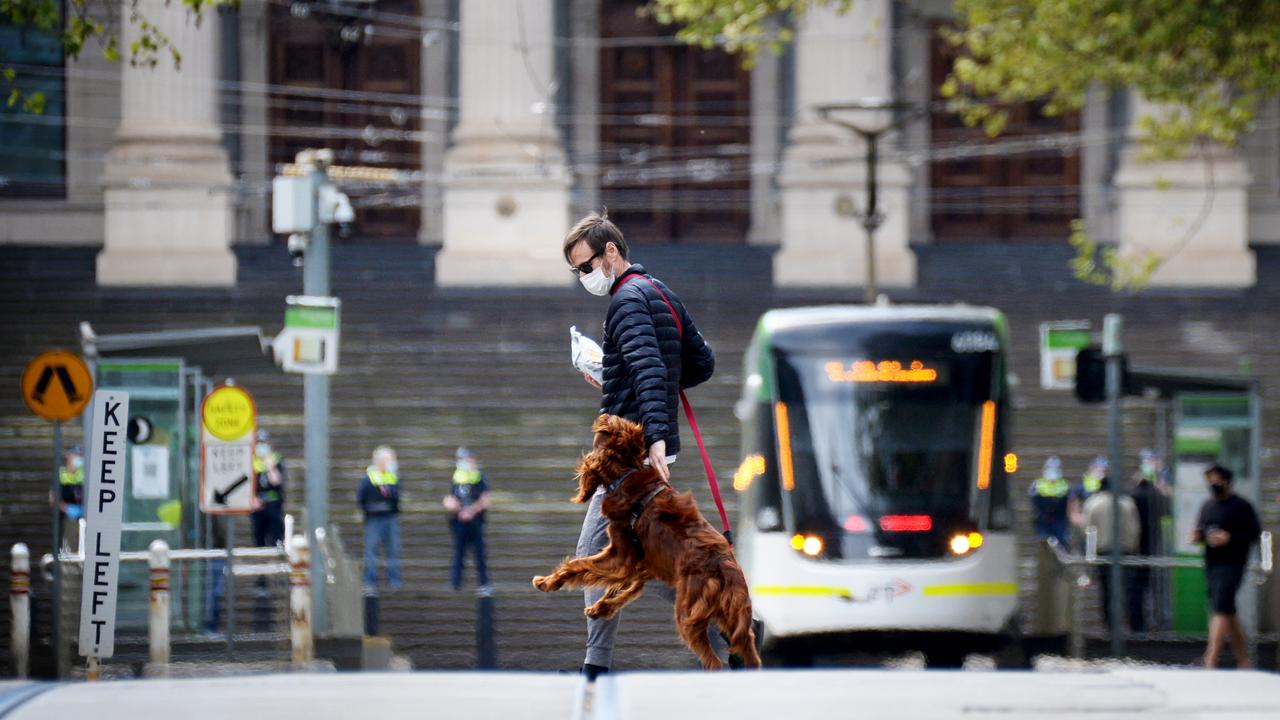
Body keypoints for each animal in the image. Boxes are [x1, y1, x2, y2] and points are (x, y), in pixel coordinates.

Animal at [529, 412, 757, 671]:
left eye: (609, 428)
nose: (604, 414)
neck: (625, 475)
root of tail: (727, 572)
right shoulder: (645, 561)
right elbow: (626, 586)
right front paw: (601, 607)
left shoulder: (621, 555)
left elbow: (579, 564)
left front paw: (547, 582)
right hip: (734, 623)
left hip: (687, 616)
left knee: (713, 662)